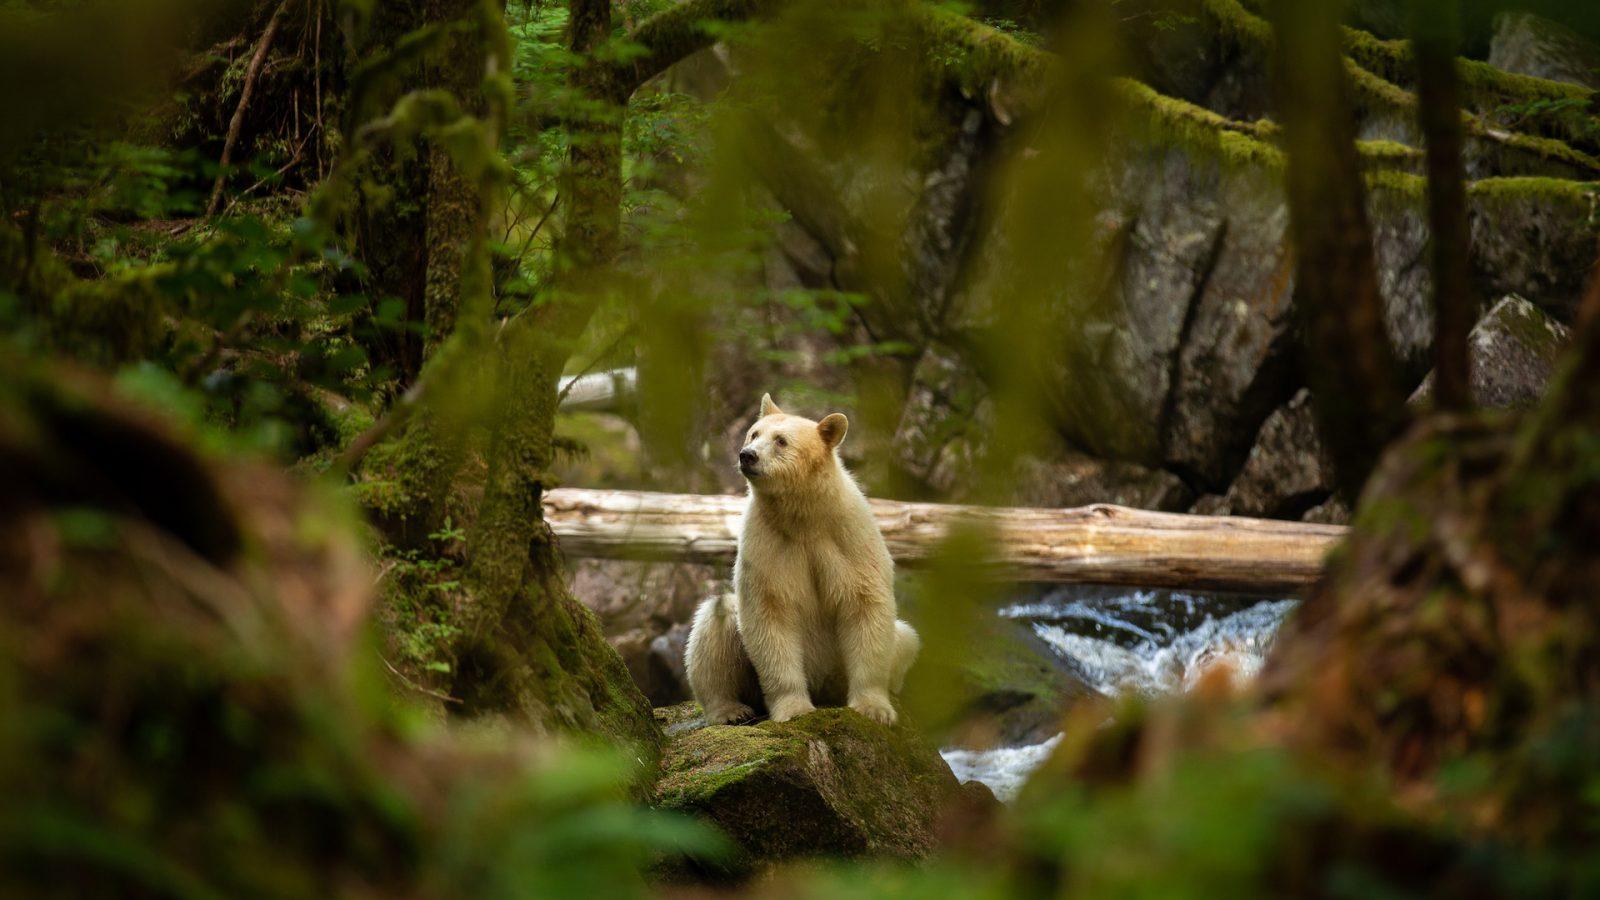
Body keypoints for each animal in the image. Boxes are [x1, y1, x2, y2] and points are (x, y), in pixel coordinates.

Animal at [684, 393, 920, 726]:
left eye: (781, 441)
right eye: (754, 433)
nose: (747, 456)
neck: (804, 517)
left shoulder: (848, 536)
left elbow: (865, 604)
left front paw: (874, 709)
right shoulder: (767, 541)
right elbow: (770, 611)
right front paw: (794, 709)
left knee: (906, 638)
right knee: (716, 621)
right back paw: (730, 710)